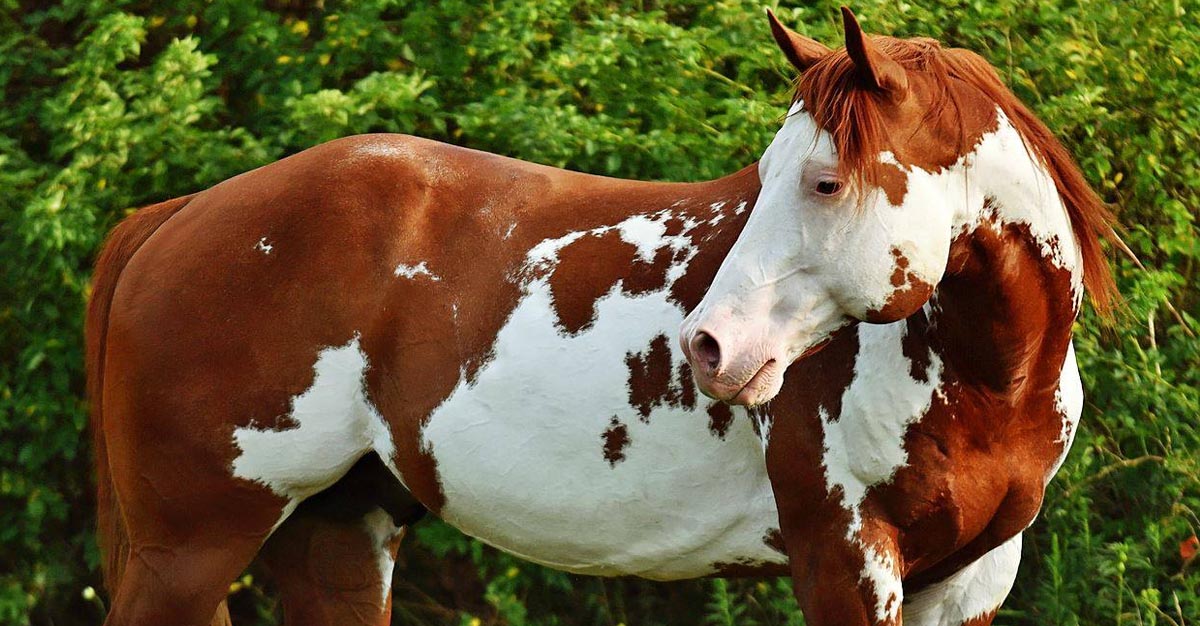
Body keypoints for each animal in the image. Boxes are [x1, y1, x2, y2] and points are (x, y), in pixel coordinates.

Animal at [84, 6, 1113, 623]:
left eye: (824, 181)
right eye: (767, 174)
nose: (709, 347)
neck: (986, 382)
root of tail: (173, 216)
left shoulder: (970, 581)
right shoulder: (845, 561)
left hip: (337, 536)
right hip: (189, 550)